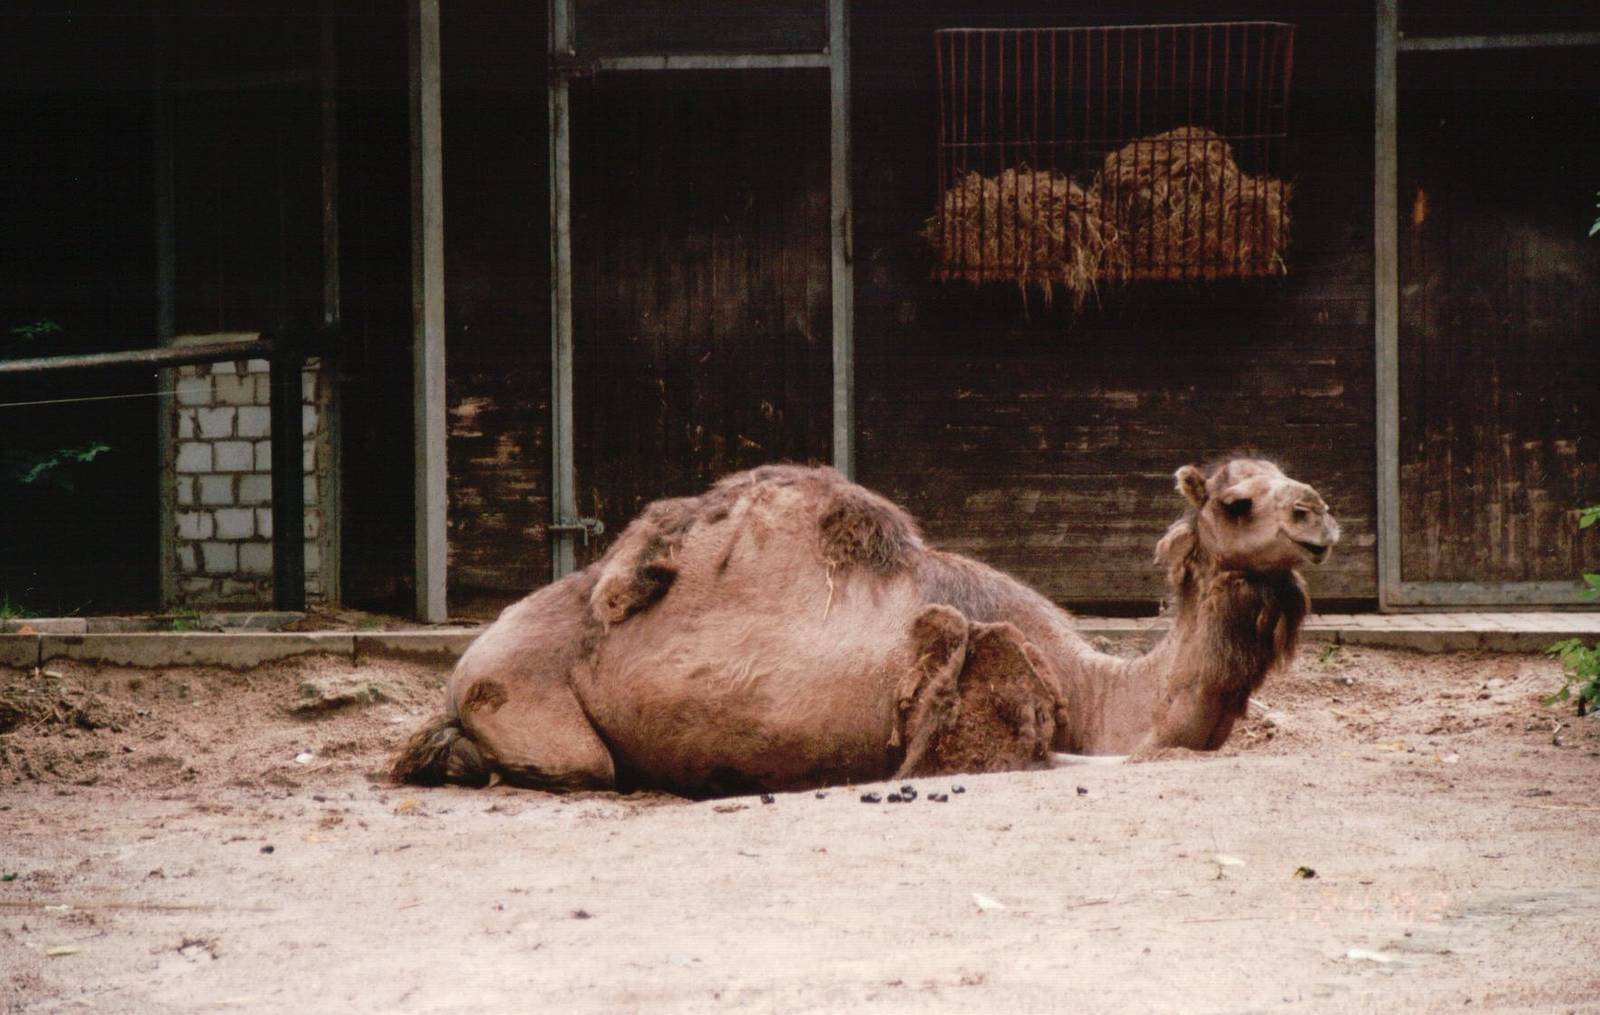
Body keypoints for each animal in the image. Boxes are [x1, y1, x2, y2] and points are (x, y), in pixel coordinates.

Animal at [392, 457, 1338, 797]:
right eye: (1237, 500)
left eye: (1291, 476)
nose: (1319, 513)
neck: (1098, 690)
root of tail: (469, 655)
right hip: (527, 693)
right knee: (578, 767)